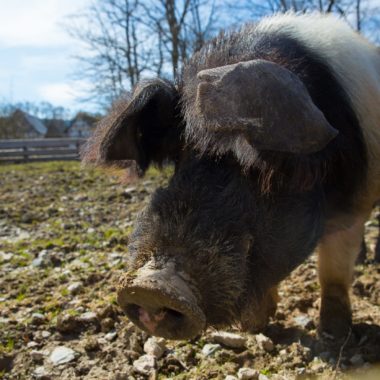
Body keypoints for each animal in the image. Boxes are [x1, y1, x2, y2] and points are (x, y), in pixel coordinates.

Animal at [82, 13, 380, 340]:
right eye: (180, 161)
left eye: (259, 171)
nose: (153, 288)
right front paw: (255, 328)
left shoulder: (351, 207)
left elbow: (332, 272)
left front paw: (333, 336)